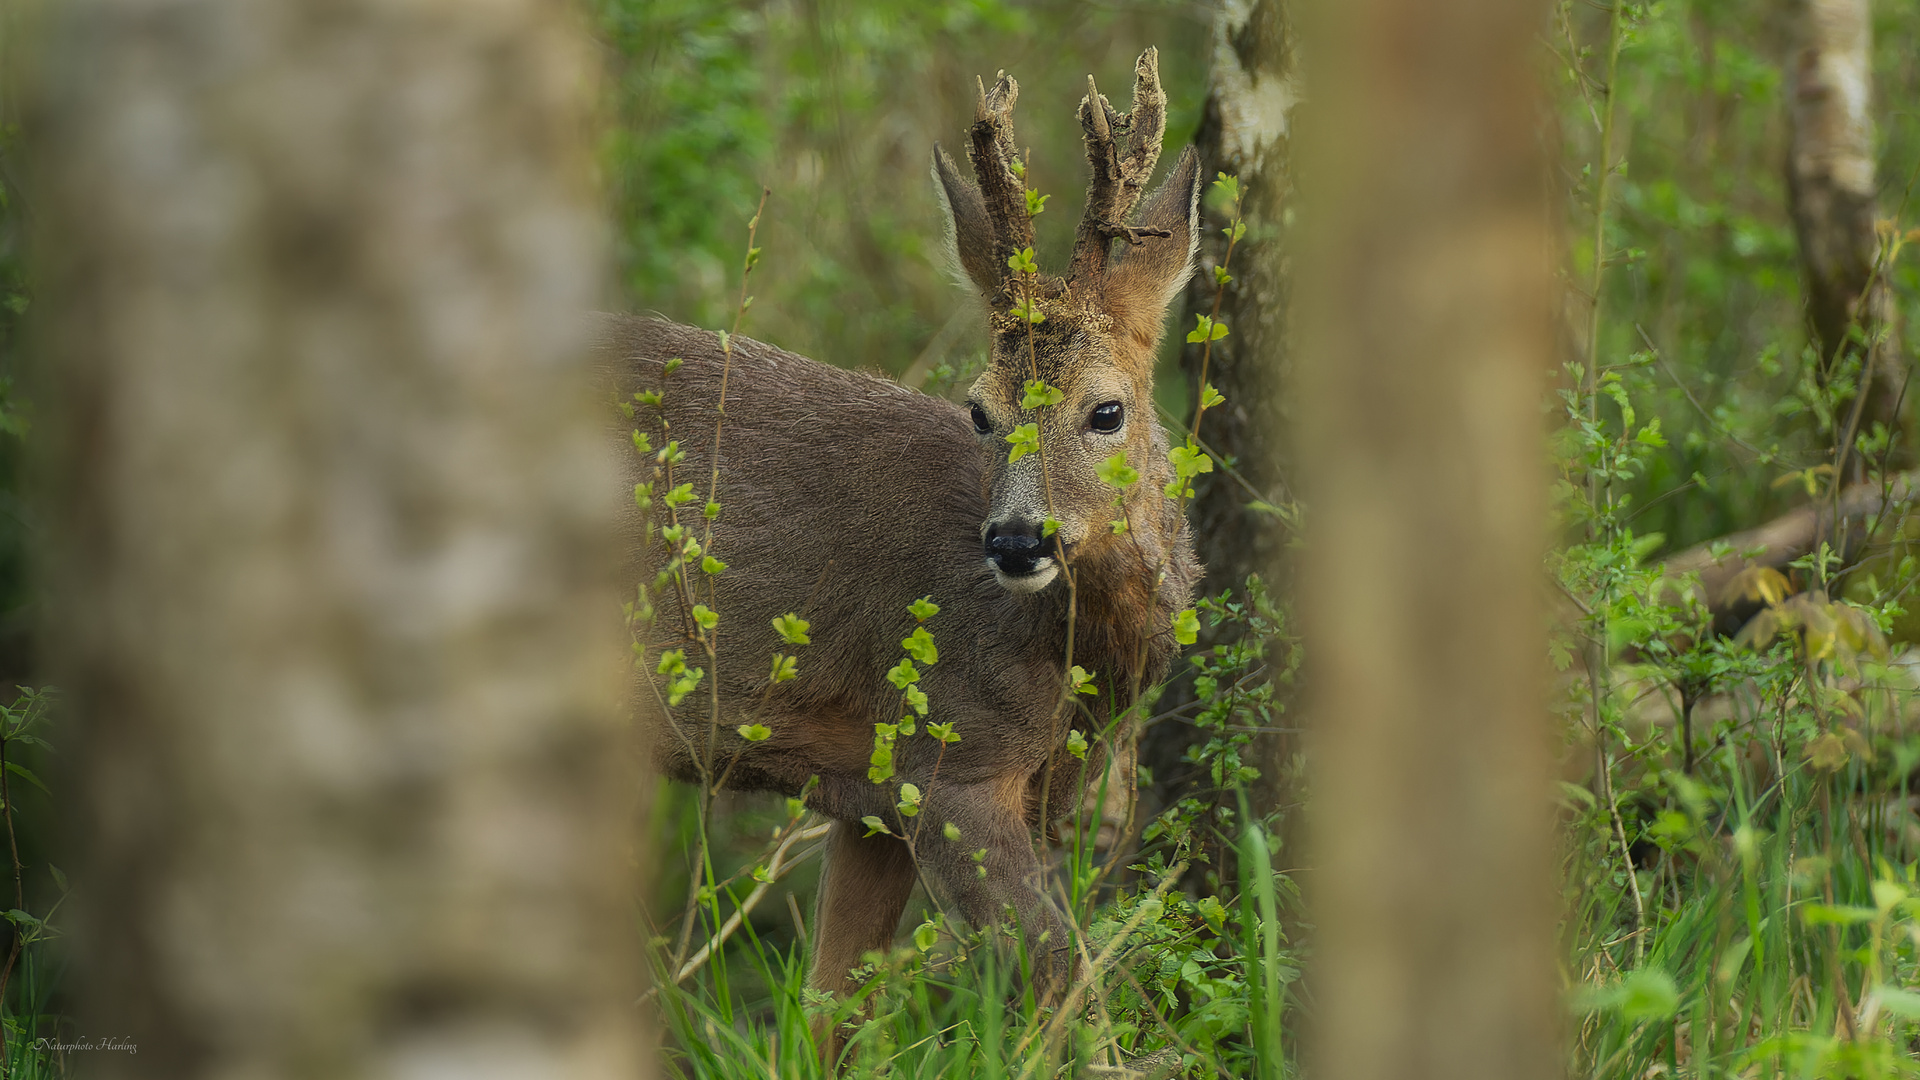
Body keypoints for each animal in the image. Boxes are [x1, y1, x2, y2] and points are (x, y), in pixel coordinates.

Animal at [606, 46, 1198, 1053]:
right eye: (981, 410)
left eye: (1106, 410)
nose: (1015, 538)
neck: (1074, 662)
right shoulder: (949, 758)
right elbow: (1067, 985)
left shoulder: (876, 803)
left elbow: (829, 1011)